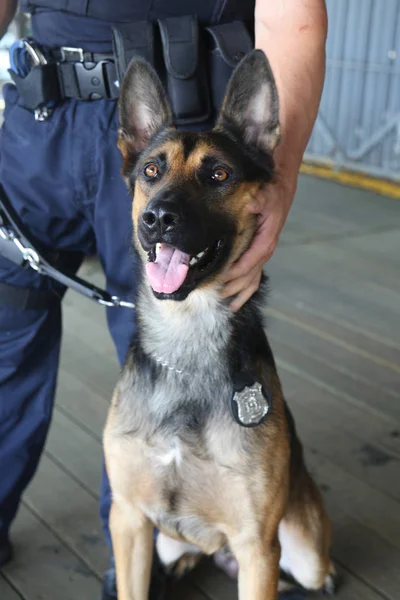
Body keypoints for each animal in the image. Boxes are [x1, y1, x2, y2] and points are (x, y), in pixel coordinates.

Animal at [103, 49, 334, 596]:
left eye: (220, 175)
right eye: (151, 170)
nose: (158, 218)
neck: (185, 341)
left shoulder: (257, 548)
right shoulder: (128, 520)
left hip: (303, 551)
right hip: (164, 540)